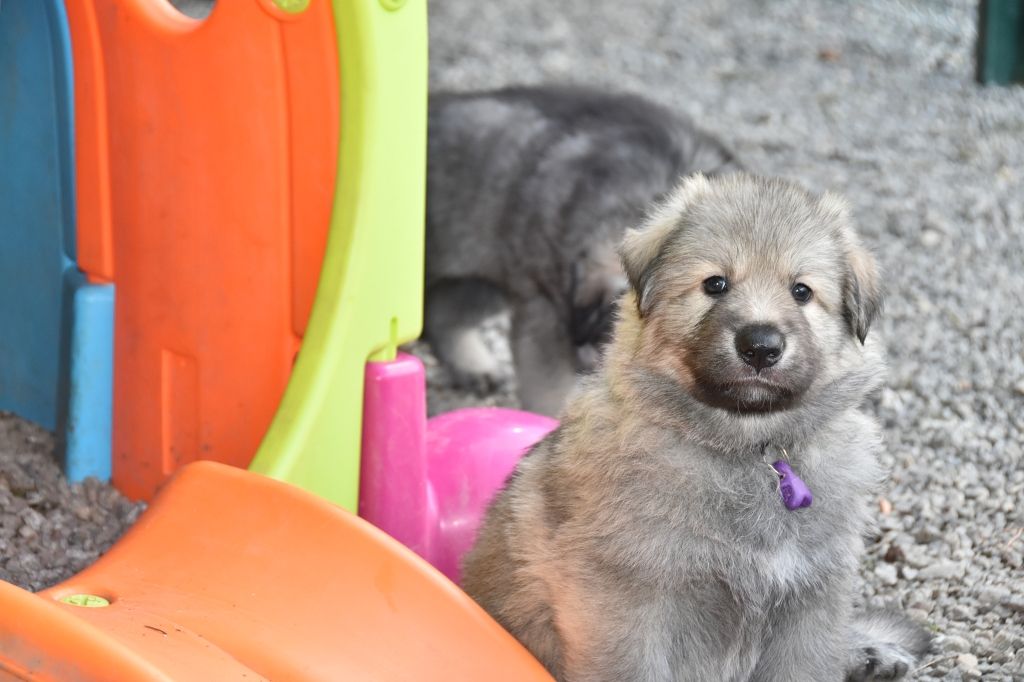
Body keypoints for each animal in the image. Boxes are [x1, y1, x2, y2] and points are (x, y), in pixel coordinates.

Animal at [461, 174, 931, 681]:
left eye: (802, 291)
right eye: (715, 284)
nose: (760, 346)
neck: (750, 452)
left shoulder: (811, 604)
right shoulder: (627, 605)